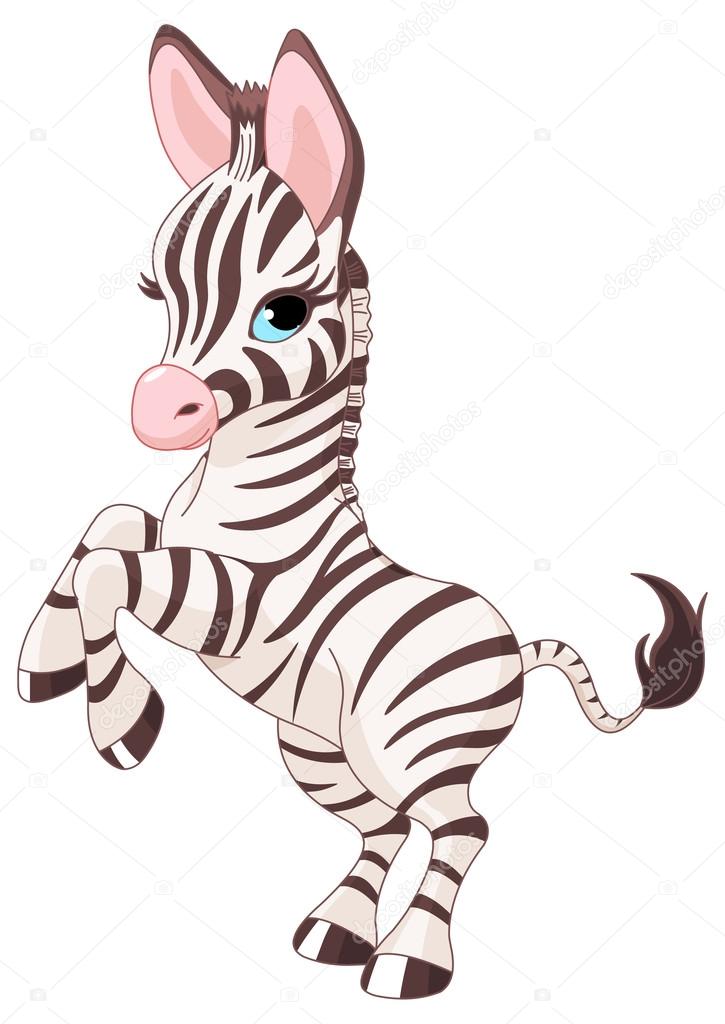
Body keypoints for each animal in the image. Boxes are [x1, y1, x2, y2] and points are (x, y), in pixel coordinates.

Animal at [18, 25, 706, 1000]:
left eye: (282, 313)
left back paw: (406, 965)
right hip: (316, 748)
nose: (156, 413)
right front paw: (48, 665)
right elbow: (104, 527)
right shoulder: (166, 538)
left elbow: (113, 569)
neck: (231, 489)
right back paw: (334, 936)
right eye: (156, 292)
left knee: (461, 827)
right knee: (385, 825)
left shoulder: (240, 604)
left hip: (422, 744)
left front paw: (122, 723)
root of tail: (514, 644)